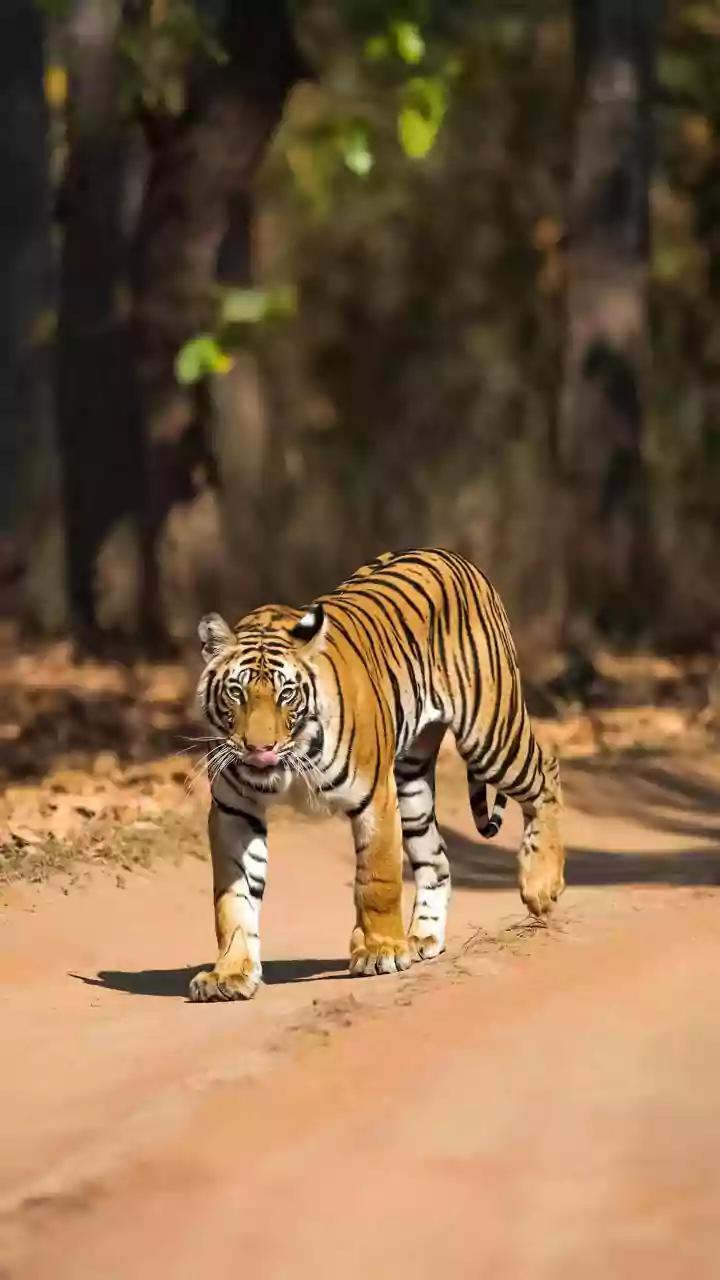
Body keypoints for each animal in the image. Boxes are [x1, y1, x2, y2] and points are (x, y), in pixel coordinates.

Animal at [190, 547, 564, 1002]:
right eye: (236, 692)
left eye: (286, 694)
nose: (260, 749)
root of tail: (451, 555)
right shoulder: (234, 811)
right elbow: (234, 898)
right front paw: (229, 973)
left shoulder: (375, 797)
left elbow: (378, 879)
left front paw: (380, 951)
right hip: (413, 780)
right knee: (436, 857)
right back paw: (421, 938)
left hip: (490, 733)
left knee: (546, 774)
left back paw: (541, 885)